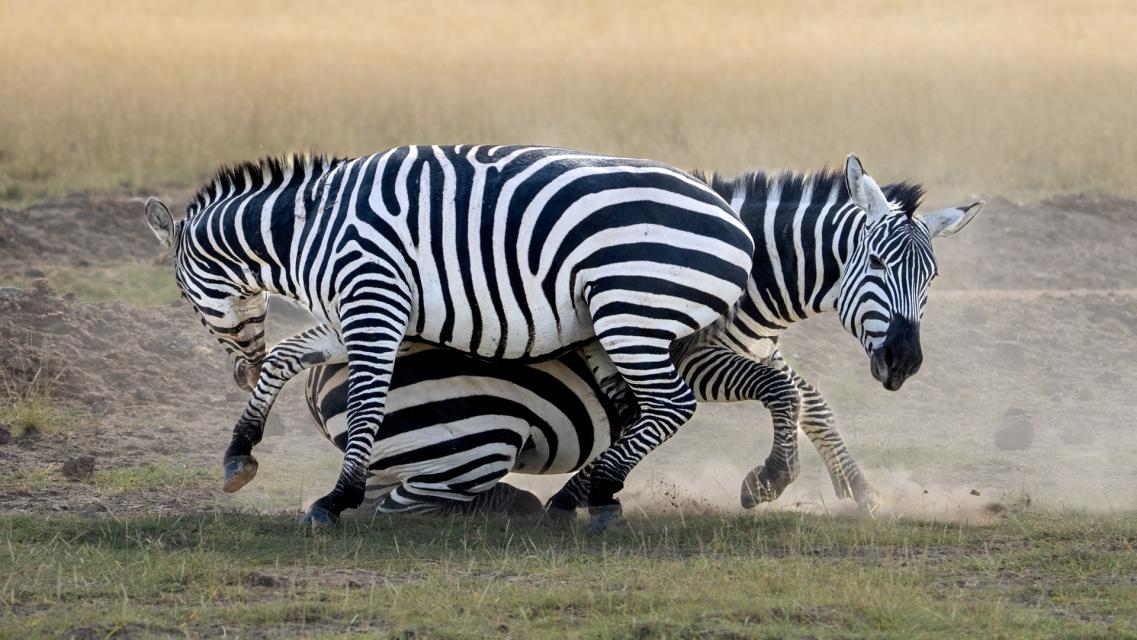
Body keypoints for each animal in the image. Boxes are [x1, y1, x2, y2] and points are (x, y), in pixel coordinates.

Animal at [143, 146, 754, 530]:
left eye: (185, 297)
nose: (238, 370)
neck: (307, 232)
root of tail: (735, 223)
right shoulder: (362, 314)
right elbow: (287, 357)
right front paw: (238, 455)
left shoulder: (373, 301)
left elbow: (366, 406)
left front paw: (338, 499)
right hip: (627, 323)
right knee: (641, 409)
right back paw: (595, 494)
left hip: (632, 313)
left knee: (670, 406)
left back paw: (591, 494)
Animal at [234, 155, 983, 517]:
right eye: (878, 264)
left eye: (932, 276)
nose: (904, 363)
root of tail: (323, 396)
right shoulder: (691, 354)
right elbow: (784, 393)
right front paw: (767, 481)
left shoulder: (749, 346)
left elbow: (811, 401)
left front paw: (860, 493)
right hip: (479, 433)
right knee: (409, 498)